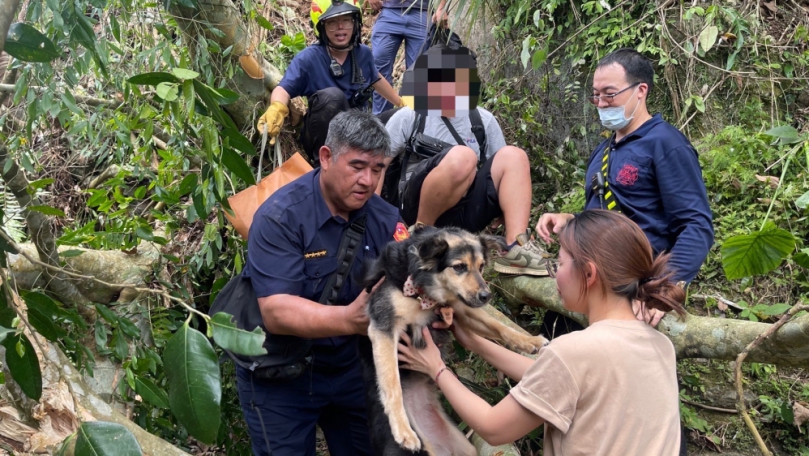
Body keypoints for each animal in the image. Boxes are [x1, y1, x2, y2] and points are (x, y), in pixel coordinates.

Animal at [362, 226, 548, 454]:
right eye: (459, 267)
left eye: (481, 266)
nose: (486, 296)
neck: (425, 287)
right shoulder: (383, 325)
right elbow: (391, 380)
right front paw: (402, 430)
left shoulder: (459, 308)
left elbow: (497, 325)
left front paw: (530, 341)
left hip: (465, 448)